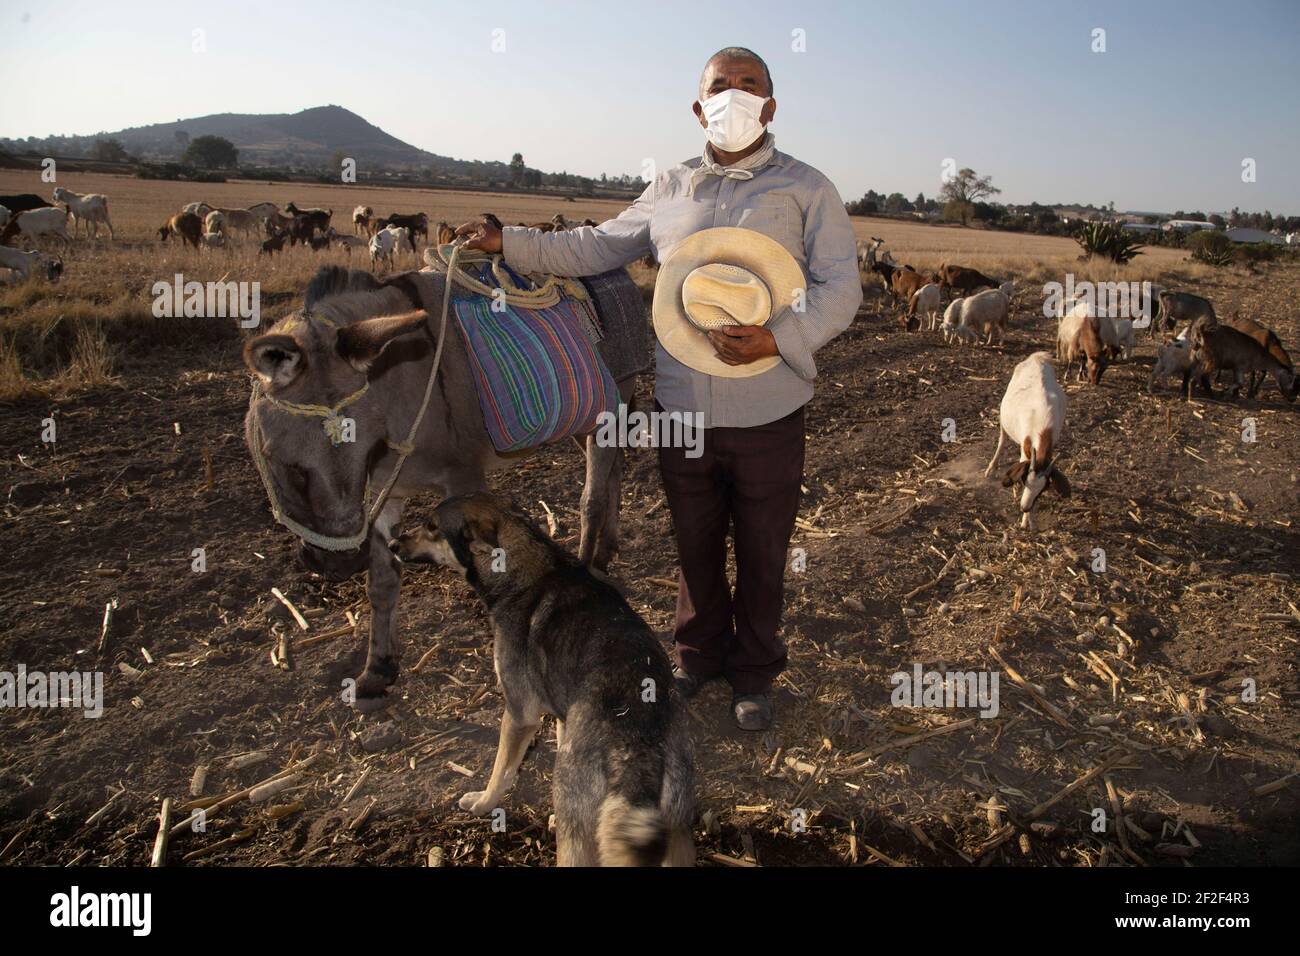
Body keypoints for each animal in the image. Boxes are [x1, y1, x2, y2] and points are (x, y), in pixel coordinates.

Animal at [390, 494, 696, 868]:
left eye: (431, 526)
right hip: (677, 833)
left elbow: (502, 771)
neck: (523, 572)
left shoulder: (519, 715)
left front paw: (483, 803)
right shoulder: (562, 713)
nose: (392, 544)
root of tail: (639, 748)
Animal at [982, 351, 1066, 530]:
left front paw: (1028, 521)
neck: (1041, 429)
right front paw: (1026, 521)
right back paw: (991, 468)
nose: (1025, 507)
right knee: (1002, 439)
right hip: (1003, 416)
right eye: (1025, 481)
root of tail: (1036, 358)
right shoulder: (1026, 449)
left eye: (1042, 489)